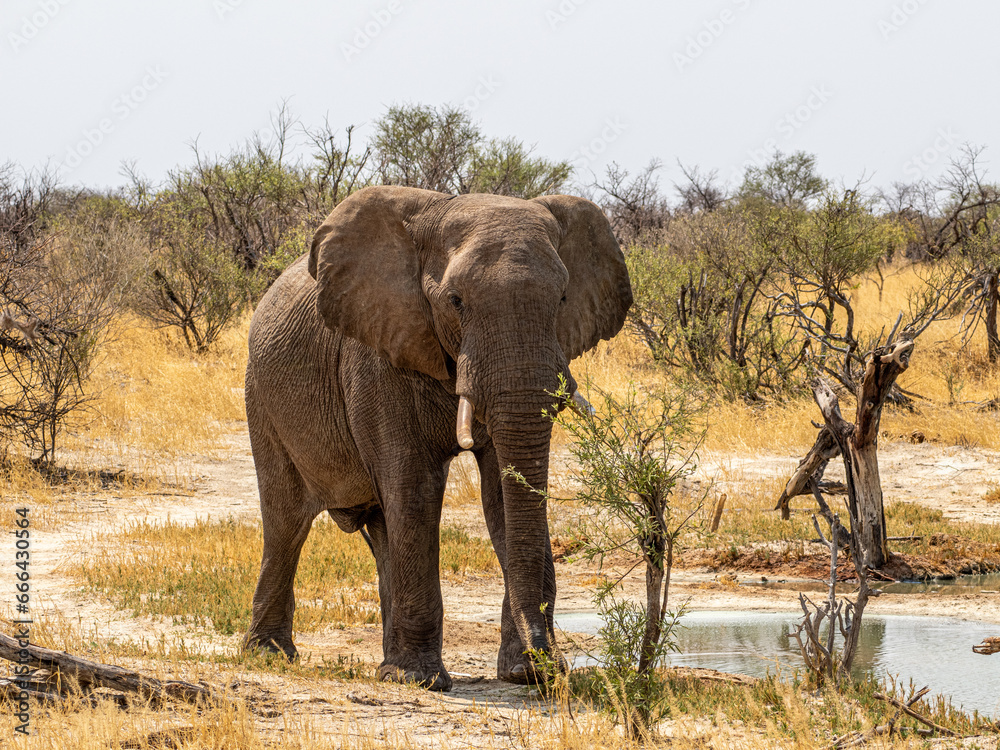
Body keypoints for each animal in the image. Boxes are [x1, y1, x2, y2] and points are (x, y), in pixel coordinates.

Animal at [243, 185, 632, 691]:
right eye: (455, 301)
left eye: (563, 298)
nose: (547, 666)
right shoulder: (379, 353)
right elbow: (414, 486)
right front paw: (419, 680)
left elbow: (502, 495)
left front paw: (520, 672)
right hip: (259, 396)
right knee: (286, 520)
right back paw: (270, 654)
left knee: (380, 528)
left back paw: (384, 661)